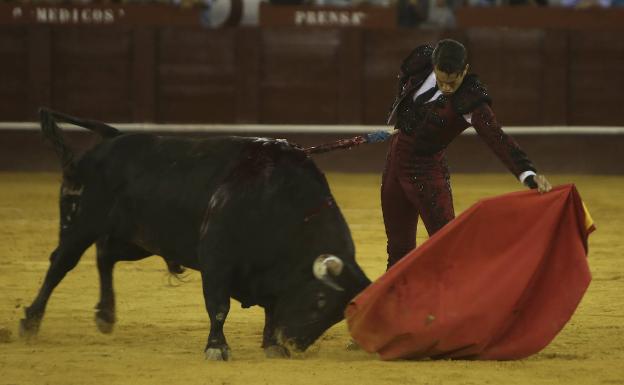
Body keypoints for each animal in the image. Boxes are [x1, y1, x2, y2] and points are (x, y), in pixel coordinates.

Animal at [19, 109, 370, 360]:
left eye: (337, 314)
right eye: (319, 300)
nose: (295, 344)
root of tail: (113, 138)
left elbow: (272, 307)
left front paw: (273, 344)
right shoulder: (216, 259)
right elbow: (219, 305)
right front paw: (217, 347)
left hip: (140, 239)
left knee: (106, 255)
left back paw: (105, 315)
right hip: (81, 223)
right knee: (61, 263)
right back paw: (30, 322)